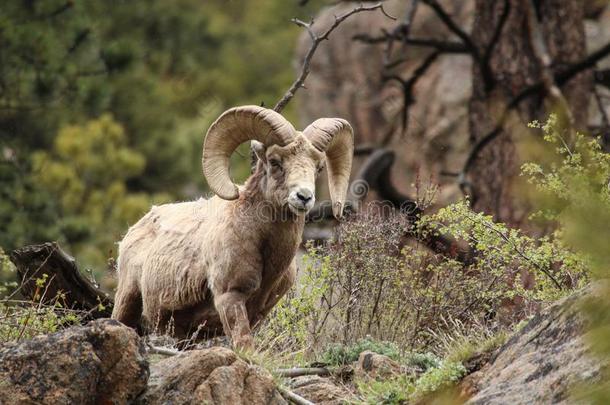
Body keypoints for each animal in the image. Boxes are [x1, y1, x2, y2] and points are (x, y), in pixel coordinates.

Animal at [111, 105, 354, 346]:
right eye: (275, 162)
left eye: (319, 168)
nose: (304, 197)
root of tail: (135, 229)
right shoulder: (230, 298)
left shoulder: (258, 313)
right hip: (127, 301)